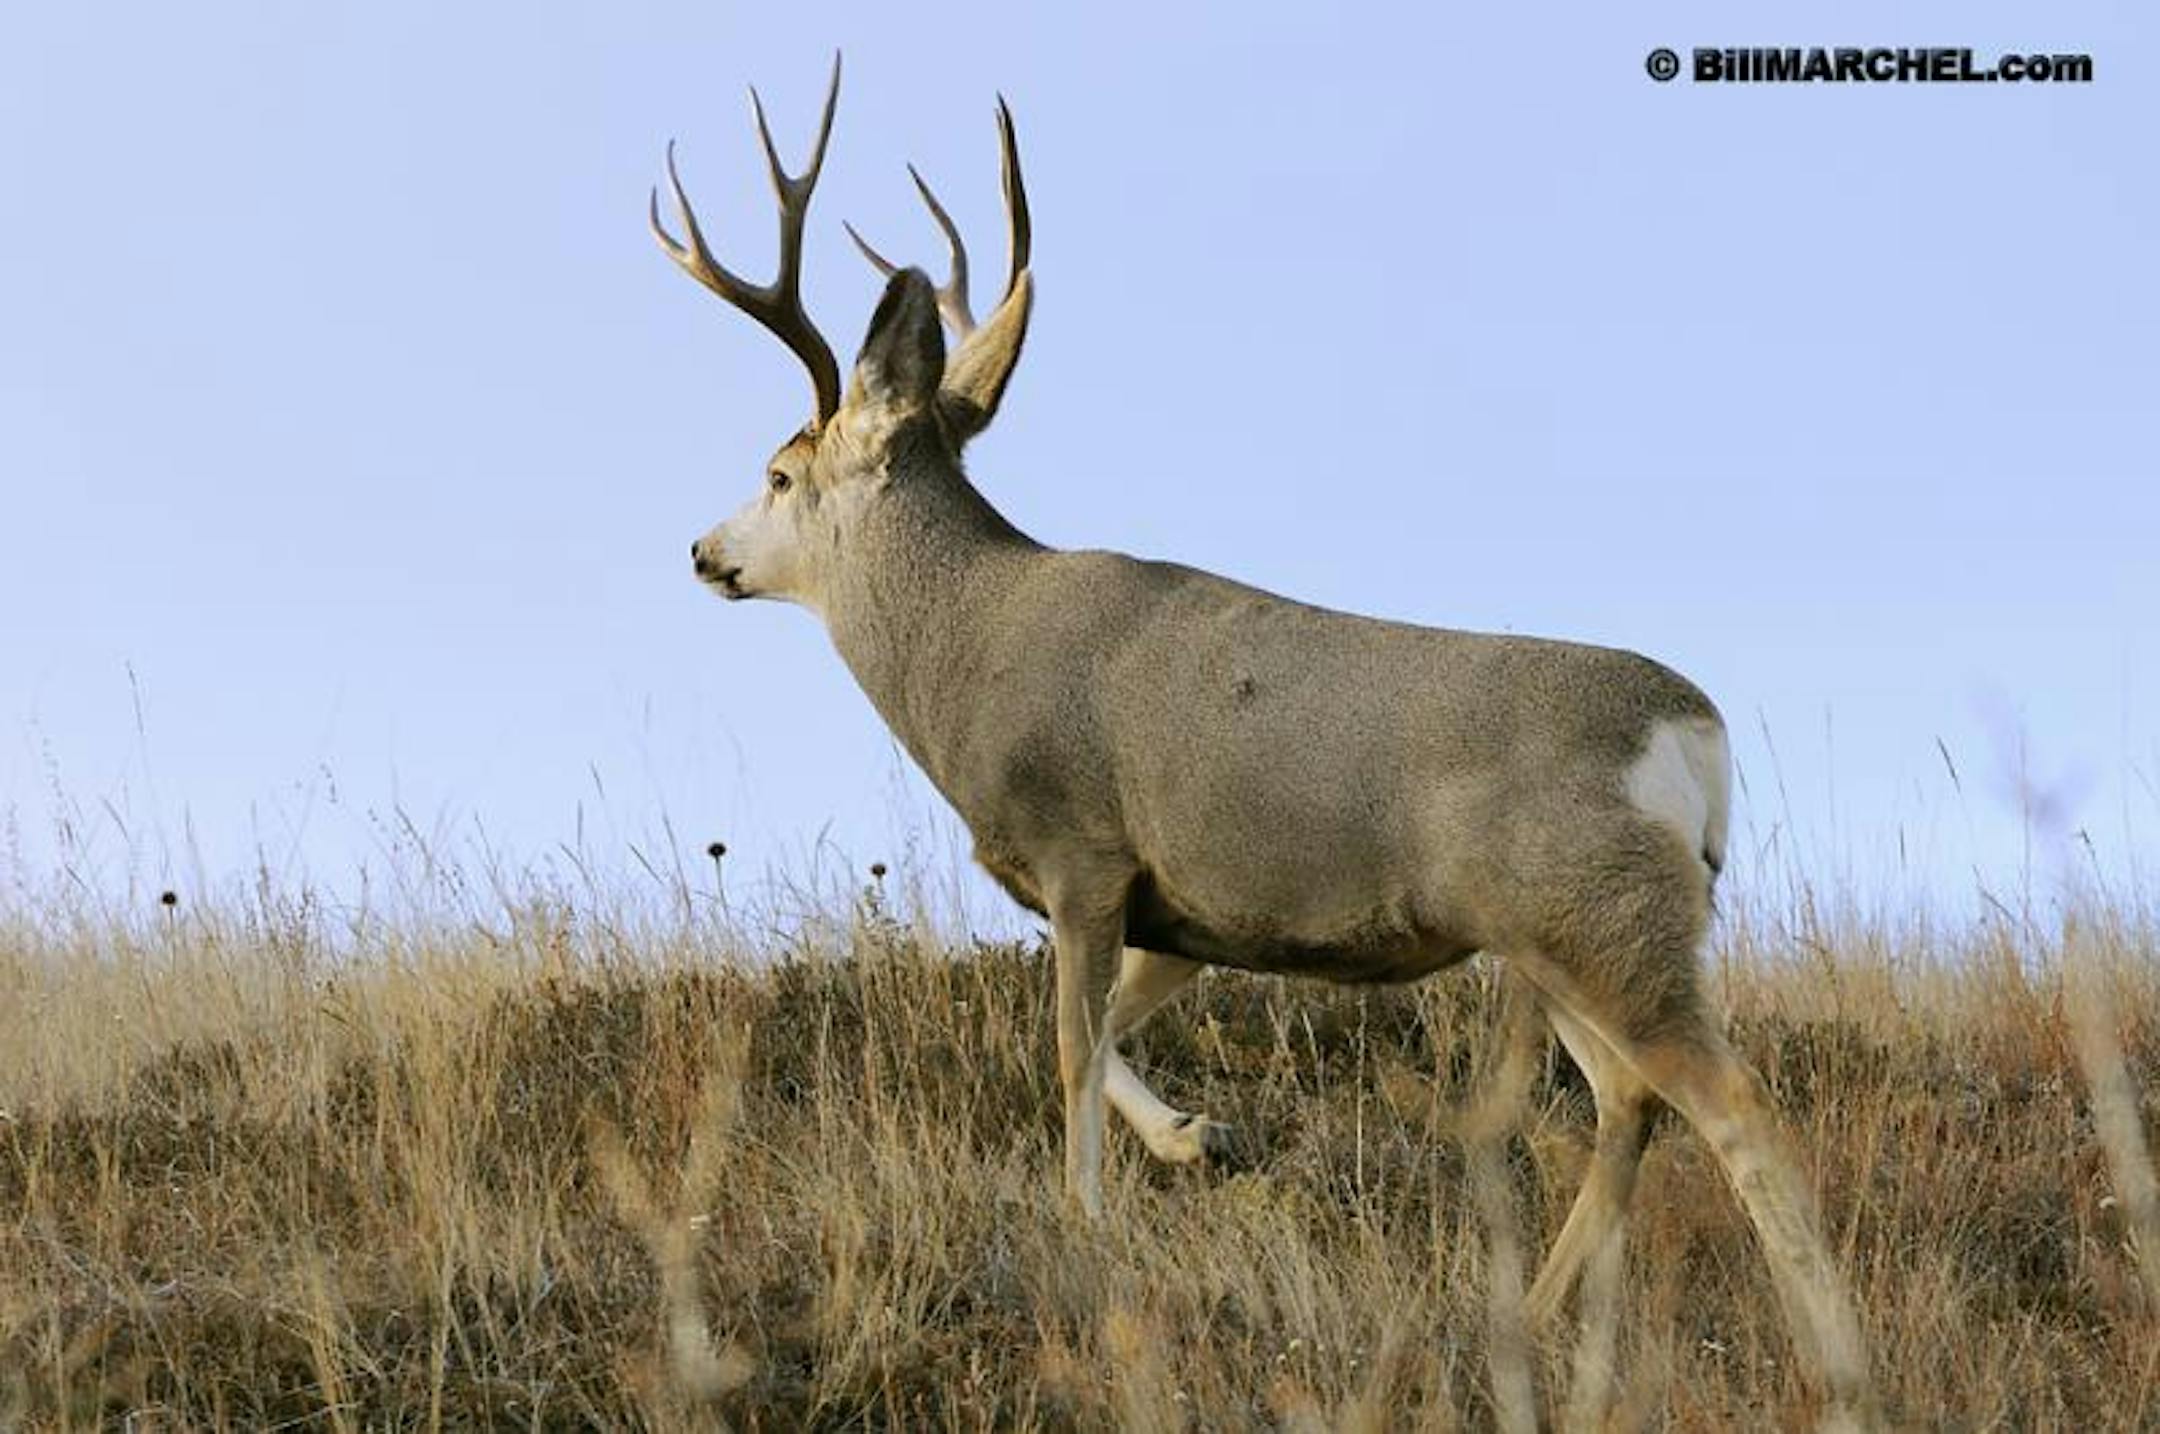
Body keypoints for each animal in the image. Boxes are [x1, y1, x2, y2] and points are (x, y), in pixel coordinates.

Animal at [652, 58, 1878, 1427]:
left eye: (779, 472)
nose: (702, 552)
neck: (968, 647)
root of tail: (1695, 733)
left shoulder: (1082, 848)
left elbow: (1067, 1049)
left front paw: (1087, 1226)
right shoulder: (1186, 908)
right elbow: (1110, 1034)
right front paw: (1196, 1137)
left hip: (1598, 915)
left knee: (1737, 1112)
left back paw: (1837, 1365)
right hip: (1566, 933)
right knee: (1630, 1106)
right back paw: (1546, 1329)